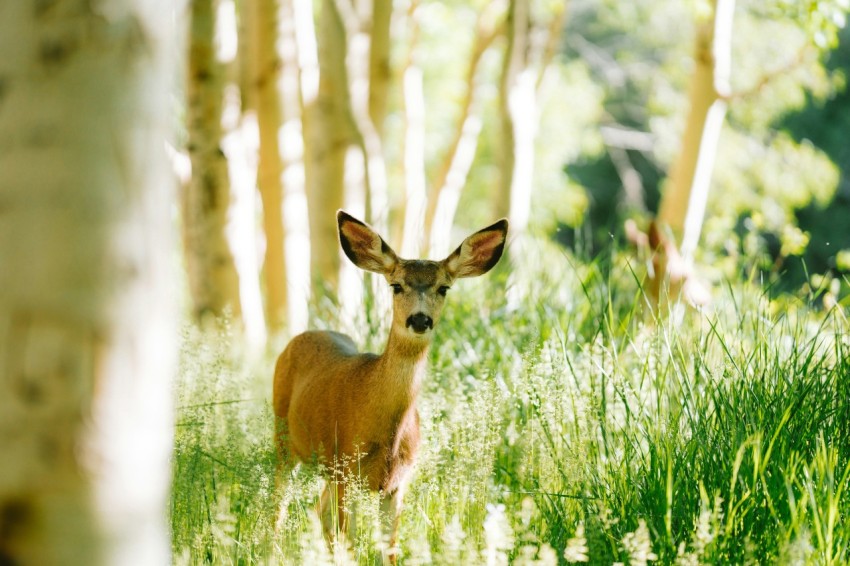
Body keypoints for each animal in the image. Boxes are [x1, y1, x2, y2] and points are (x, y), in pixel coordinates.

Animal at [274, 212, 506, 564]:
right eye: (396, 285)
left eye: (444, 288)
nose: (420, 320)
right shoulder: (346, 469)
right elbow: (349, 544)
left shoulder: (397, 483)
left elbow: (391, 549)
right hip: (284, 437)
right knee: (279, 509)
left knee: (318, 512)